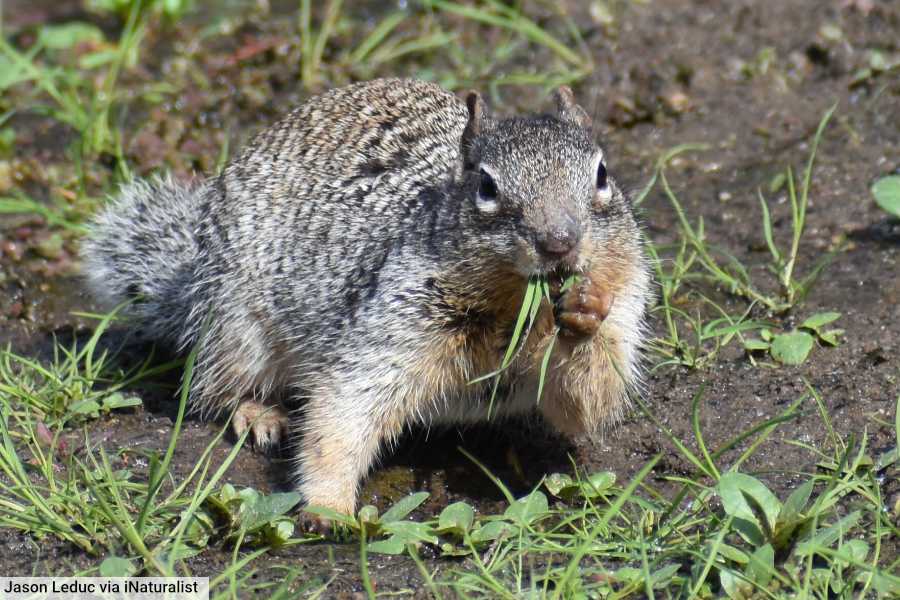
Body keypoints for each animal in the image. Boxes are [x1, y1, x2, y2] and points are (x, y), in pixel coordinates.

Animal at [82, 77, 648, 528]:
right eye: (485, 187)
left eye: (602, 175)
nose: (560, 243)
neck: (515, 306)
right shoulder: (392, 323)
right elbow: (343, 409)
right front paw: (328, 506)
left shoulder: (626, 299)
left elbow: (586, 402)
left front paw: (585, 312)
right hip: (236, 325)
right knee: (209, 386)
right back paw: (254, 413)